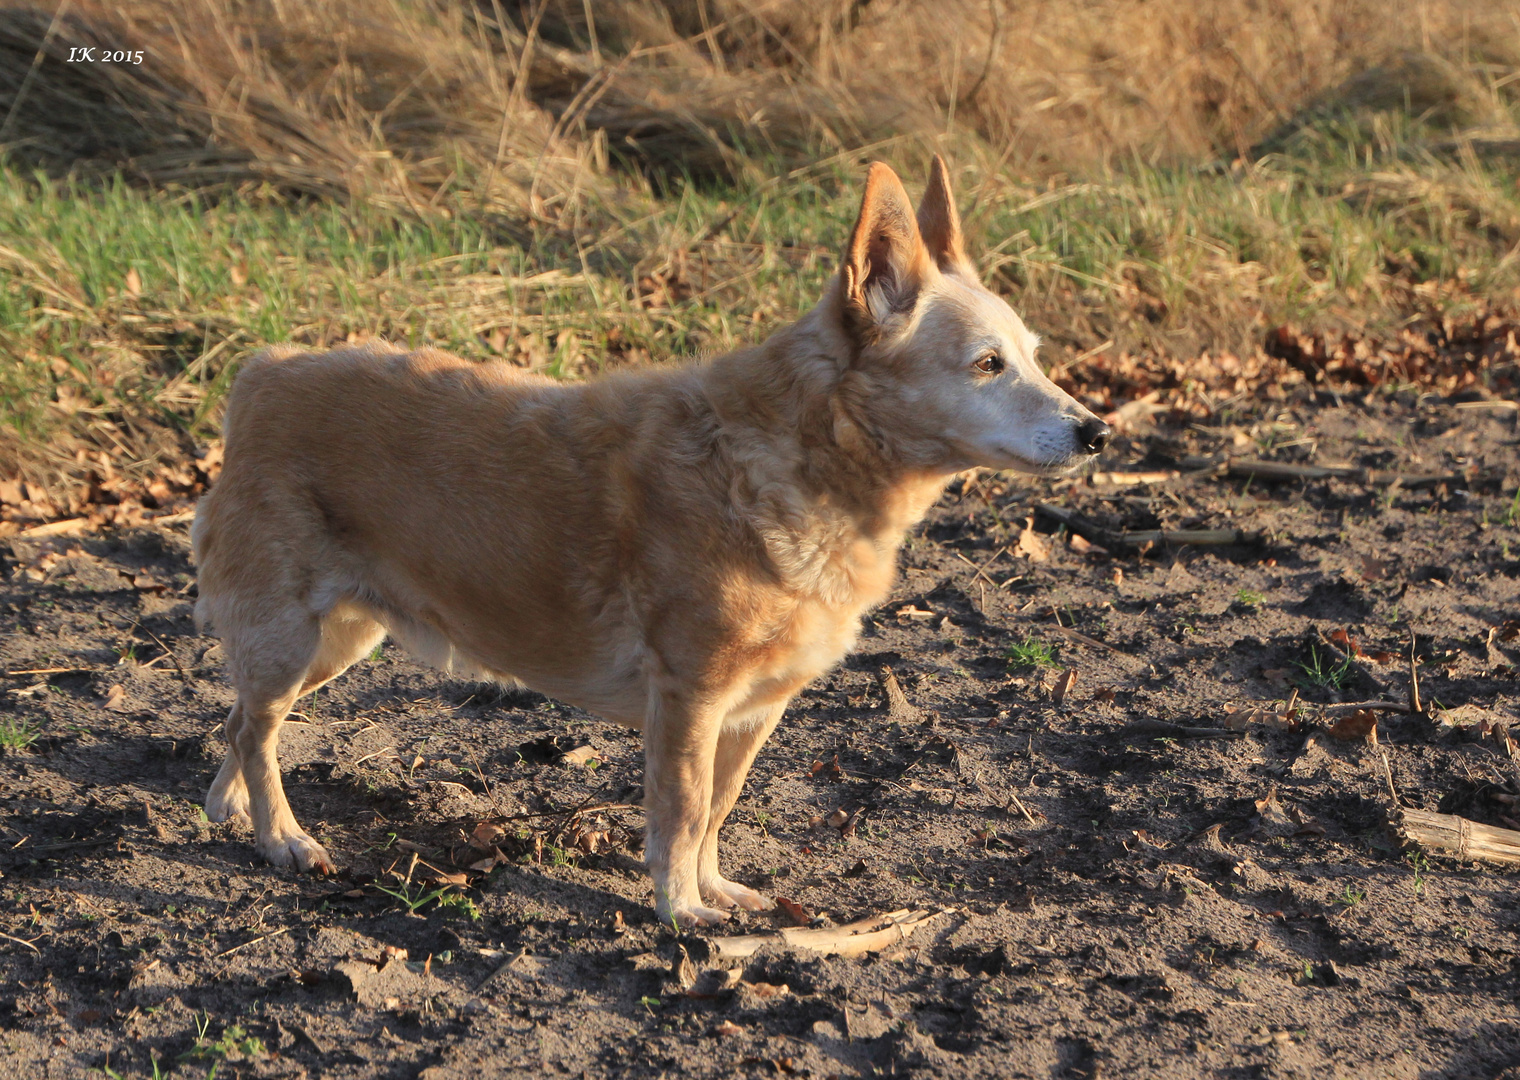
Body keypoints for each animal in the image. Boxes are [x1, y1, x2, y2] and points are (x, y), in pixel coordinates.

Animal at [196, 160, 1112, 929]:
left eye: (1034, 357)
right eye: (987, 364)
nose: (1098, 431)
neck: (797, 461)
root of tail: (261, 373)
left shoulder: (754, 708)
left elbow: (717, 810)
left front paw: (715, 890)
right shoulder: (690, 696)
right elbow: (681, 811)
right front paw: (680, 912)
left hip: (339, 640)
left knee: (240, 725)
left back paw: (233, 812)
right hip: (289, 635)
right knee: (257, 731)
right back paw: (281, 839)